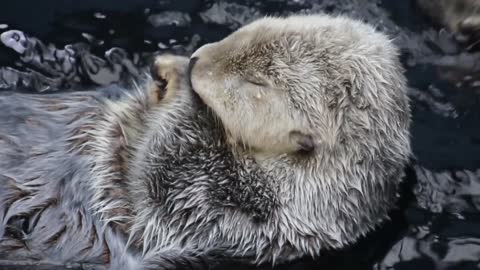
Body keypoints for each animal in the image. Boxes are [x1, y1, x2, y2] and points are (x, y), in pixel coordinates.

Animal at [0, 14, 412, 270]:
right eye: (245, 33)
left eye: (256, 82)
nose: (196, 60)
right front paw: (169, 68)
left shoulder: (232, 220)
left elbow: (160, 186)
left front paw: (178, 81)